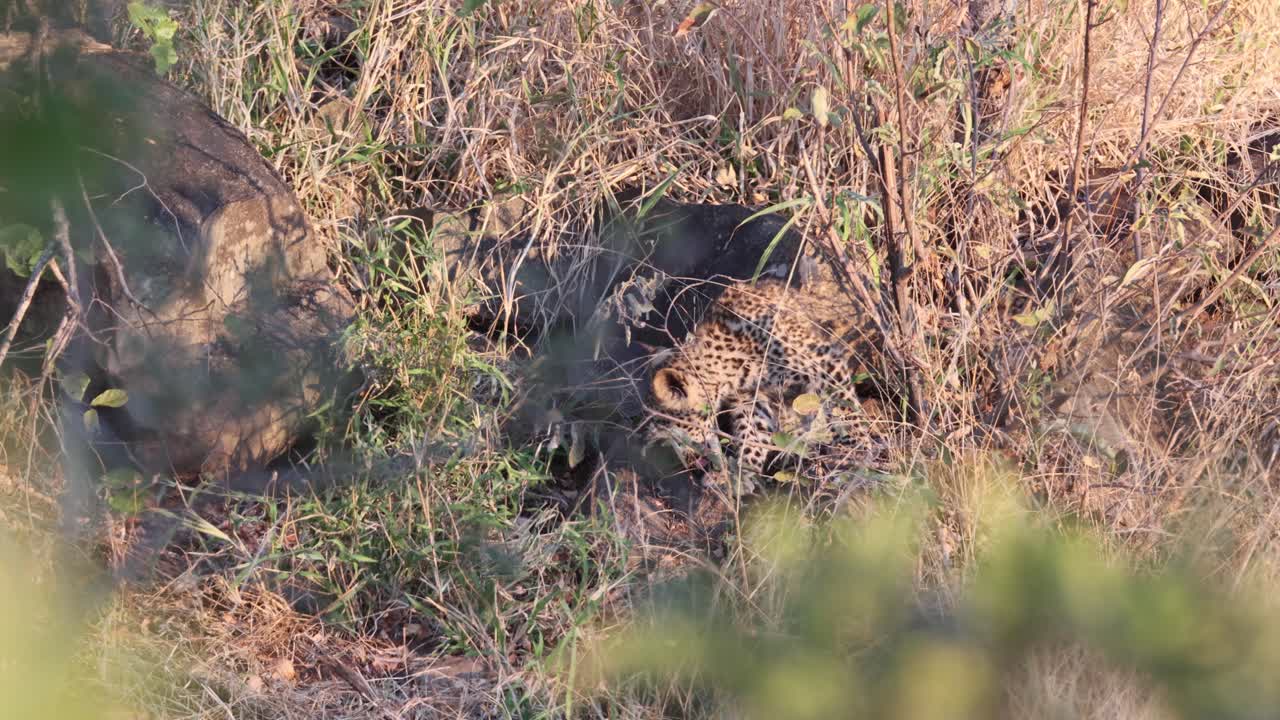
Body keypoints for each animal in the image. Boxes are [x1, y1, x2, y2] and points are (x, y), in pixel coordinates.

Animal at [642, 272, 890, 480]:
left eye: (671, 430)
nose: (676, 462)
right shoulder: (751, 398)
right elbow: (751, 433)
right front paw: (742, 473)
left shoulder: (825, 362)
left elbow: (844, 409)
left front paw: (857, 450)